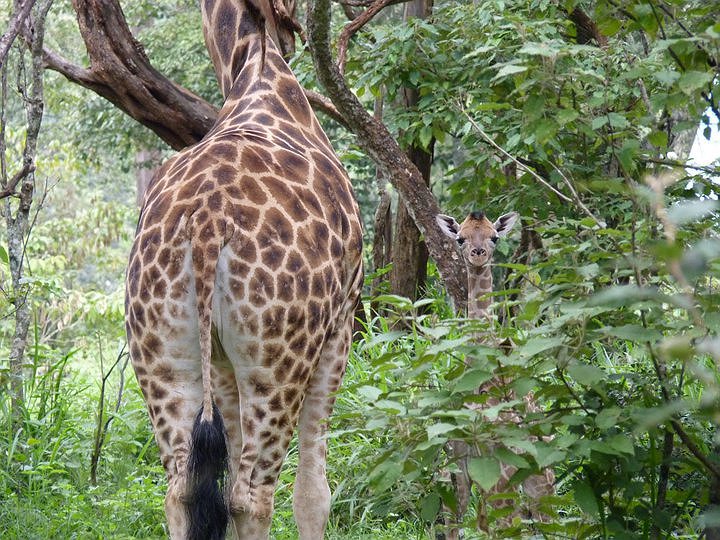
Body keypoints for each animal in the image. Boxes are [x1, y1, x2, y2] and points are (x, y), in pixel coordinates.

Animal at [125, 2, 366, 536]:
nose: (292, 32)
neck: (258, 65)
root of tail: (206, 223)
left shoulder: (219, 360)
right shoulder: (340, 327)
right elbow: (314, 494)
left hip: (162, 354)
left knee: (181, 492)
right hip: (277, 361)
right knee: (251, 496)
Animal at [436, 210, 556, 532]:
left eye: (494, 237)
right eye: (460, 238)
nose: (478, 255)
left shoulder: (496, 467)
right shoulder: (460, 464)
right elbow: (457, 523)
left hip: (535, 478)